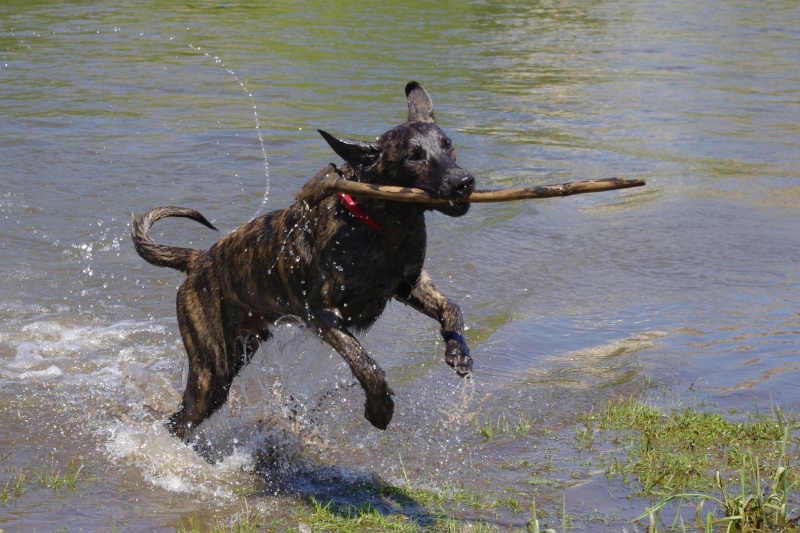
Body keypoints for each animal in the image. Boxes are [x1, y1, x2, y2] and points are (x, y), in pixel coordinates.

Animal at [131, 82, 476, 440]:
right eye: (414, 156)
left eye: (448, 146)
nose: (464, 182)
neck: (378, 222)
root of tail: (199, 260)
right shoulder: (321, 313)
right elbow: (364, 363)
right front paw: (379, 408)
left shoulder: (410, 284)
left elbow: (452, 308)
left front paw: (458, 351)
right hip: (212, 372)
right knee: (180, 420)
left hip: (239, 349)